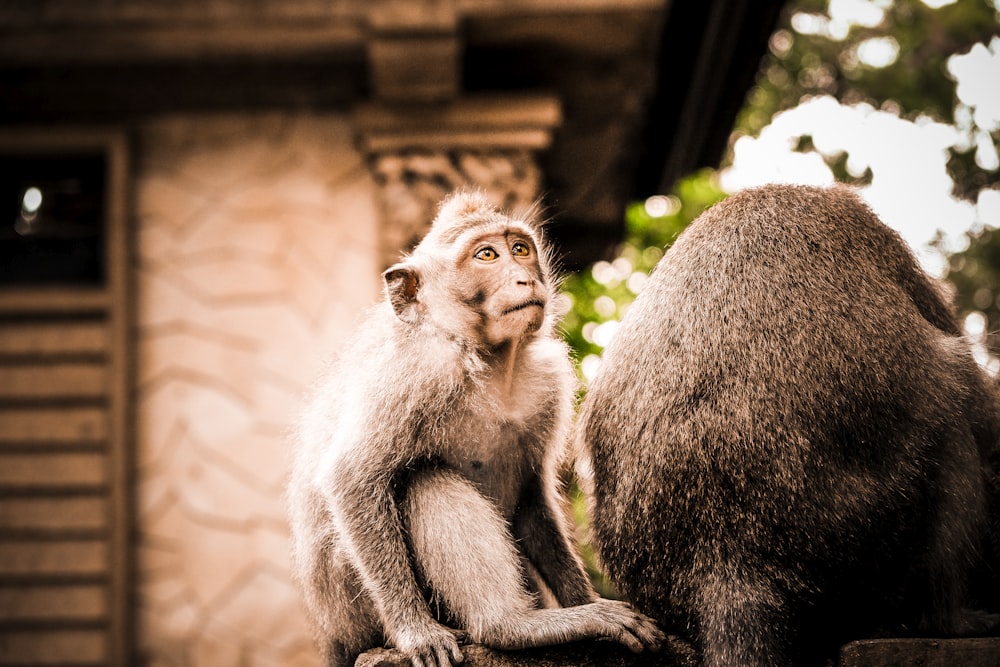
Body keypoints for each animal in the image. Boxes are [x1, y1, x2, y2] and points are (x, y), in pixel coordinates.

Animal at [288, 189, 664, 667]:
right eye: (486, 255)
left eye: (520, 249)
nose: (524, 280)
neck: (489, 361)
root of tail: (334, 638)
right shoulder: (420, 370)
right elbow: (351, 478)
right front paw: (416, 633)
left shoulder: (547, 382)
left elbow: (532, 499)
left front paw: (587, 601)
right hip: (355, 610)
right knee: (425, 481)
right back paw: (510, 626)